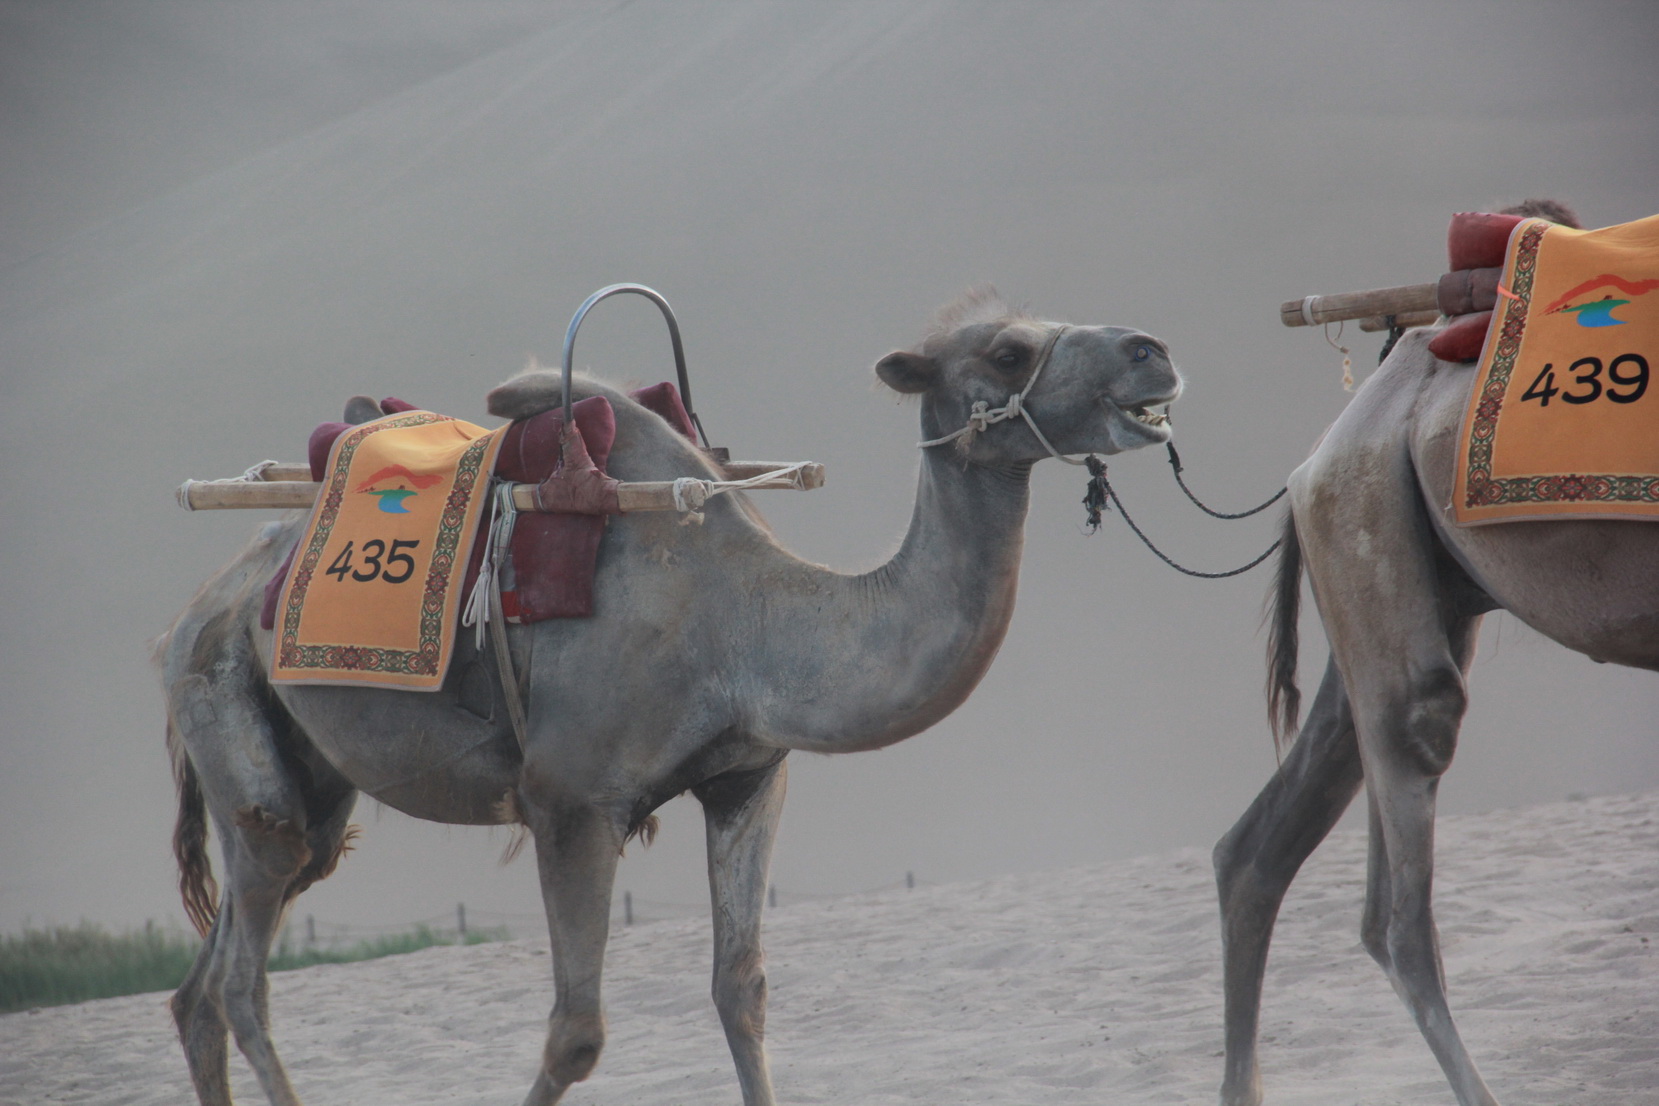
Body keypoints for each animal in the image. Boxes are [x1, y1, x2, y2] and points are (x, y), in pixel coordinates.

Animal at [158, 291, 1181, 1106]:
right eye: (1008, 351)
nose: (1153, 349)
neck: (747, 623)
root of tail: (199, 606)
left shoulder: (745, 779)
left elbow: (742, 992)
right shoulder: (572, 802)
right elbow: (576, 1034)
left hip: (315, 787)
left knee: (203, 987)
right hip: (229, 718)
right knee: (245, 978)